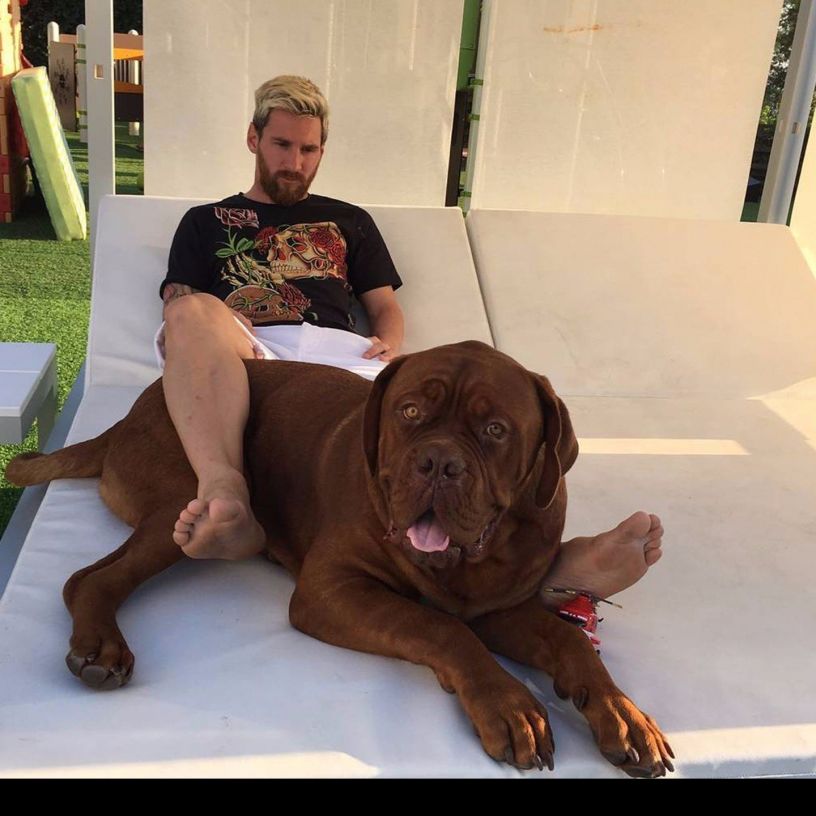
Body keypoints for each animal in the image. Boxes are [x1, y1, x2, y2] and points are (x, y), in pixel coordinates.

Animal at [4, 340, 668, 776]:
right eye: (409, 412)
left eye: (496, 430)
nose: (438, 462)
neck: (467, 564)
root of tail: (126, 416)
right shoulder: (332, 591)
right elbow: (442, 628)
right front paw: (509, 705)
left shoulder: (500, 606)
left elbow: (570, 640)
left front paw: (625, 714)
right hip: (180, 506)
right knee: (89, 578)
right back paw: (100, 649)